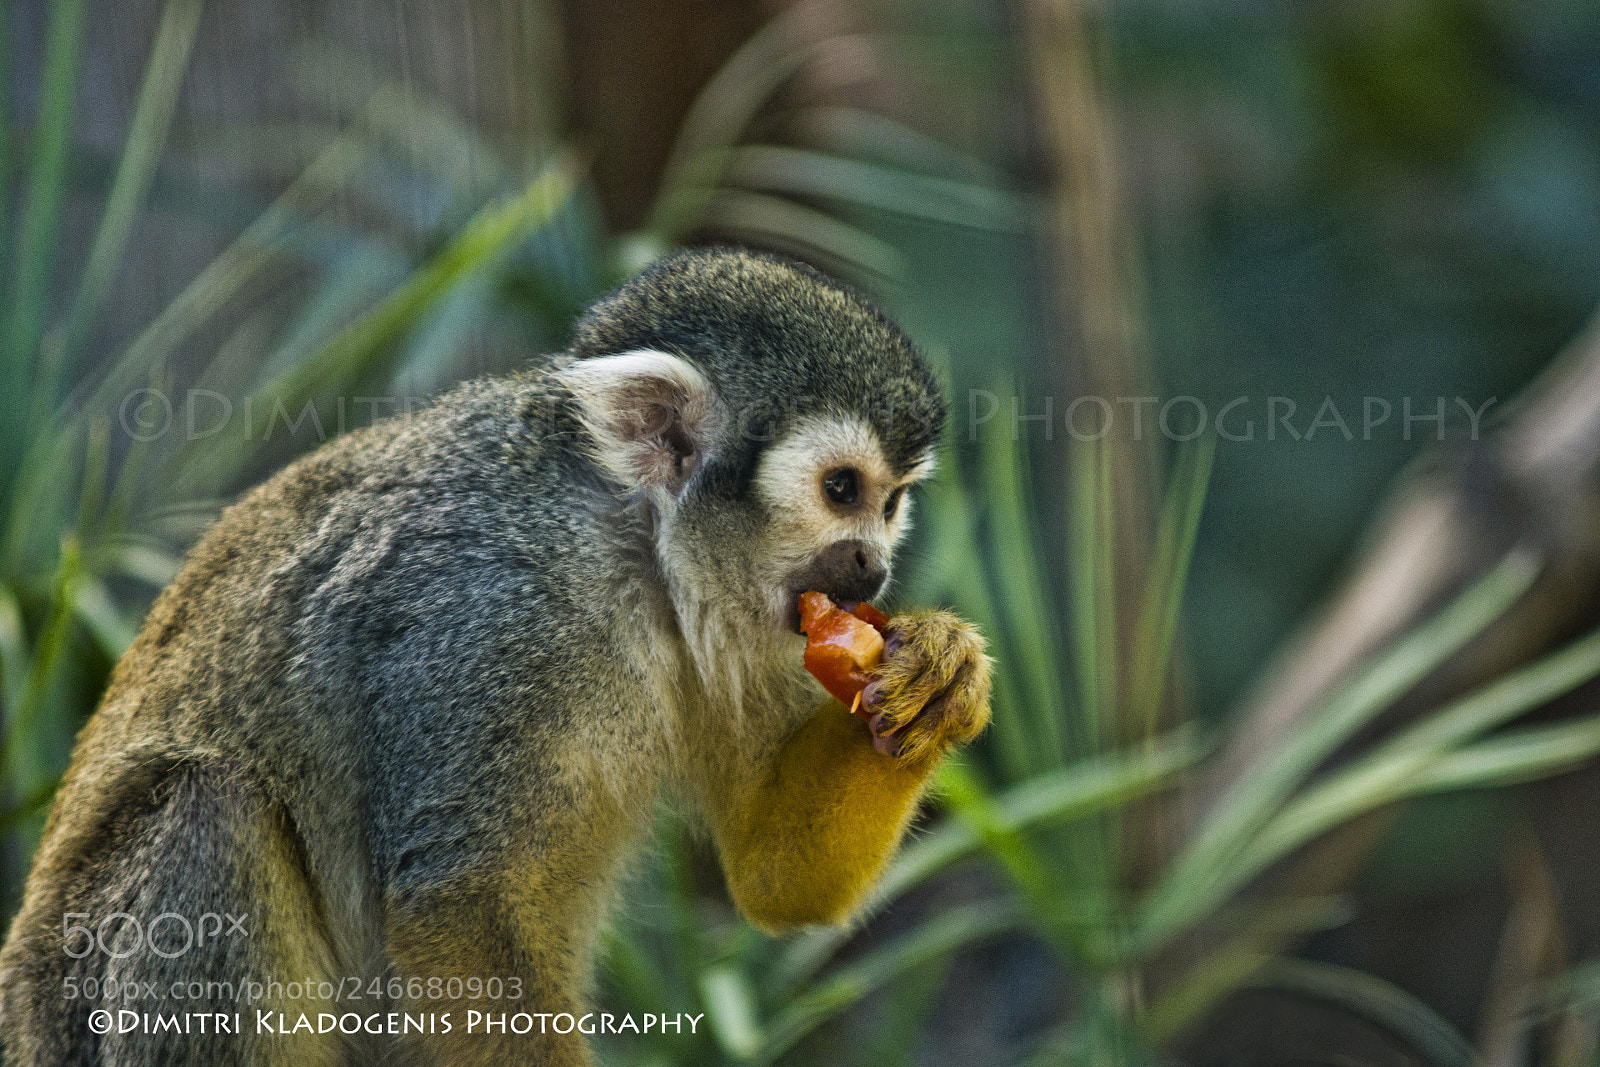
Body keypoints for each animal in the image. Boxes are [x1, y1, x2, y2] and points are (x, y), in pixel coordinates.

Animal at [0, 247, 991, 1066]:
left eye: (894, 501)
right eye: (841, 490)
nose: (873, 566)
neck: (637, 556)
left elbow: (779, 876)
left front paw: (942, 675)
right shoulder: (483, 603)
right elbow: (458, 897)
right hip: (71, 1003)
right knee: (213, 806)